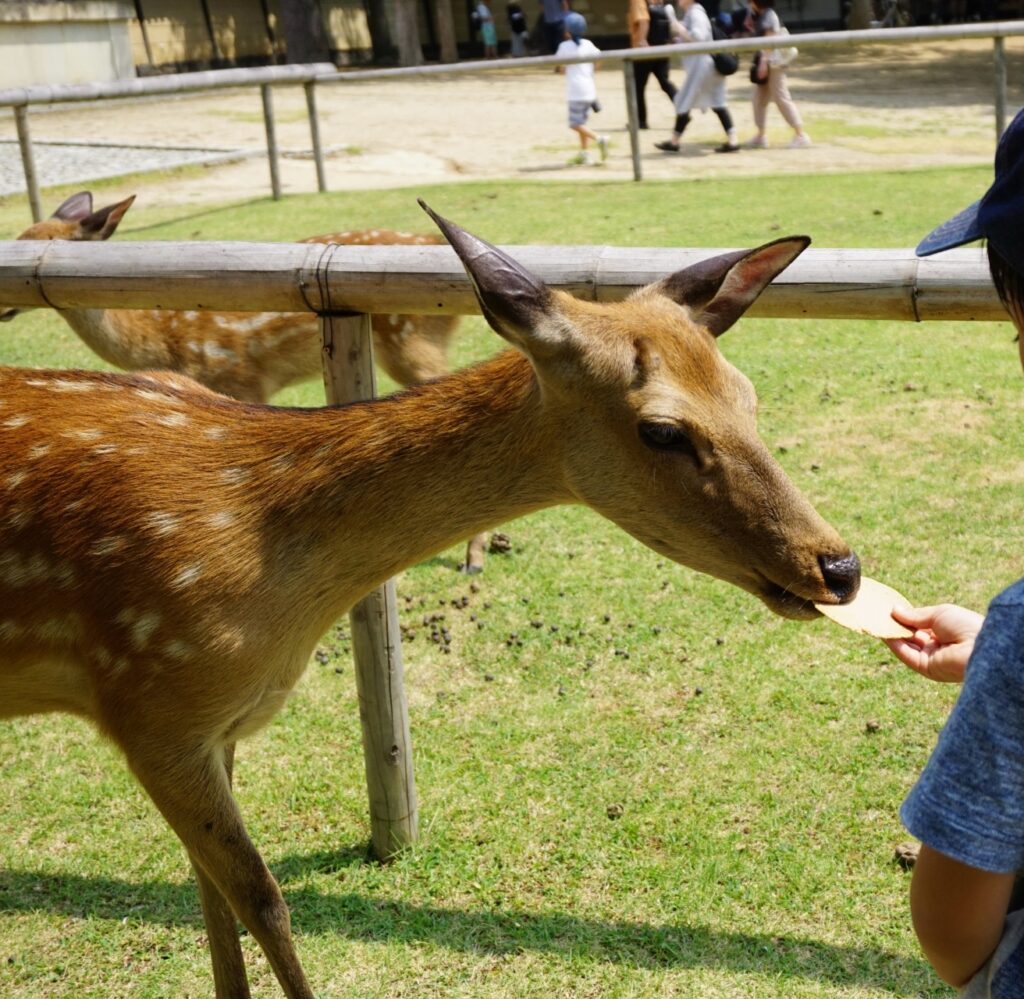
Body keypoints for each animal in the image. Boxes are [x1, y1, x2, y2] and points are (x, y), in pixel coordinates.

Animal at [0, 191, 493, 572]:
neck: (164, 341)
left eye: (40, 243)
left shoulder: (241, 379)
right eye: (19, 238)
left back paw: (474, 557)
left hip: (411, 341)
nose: (4, 306)